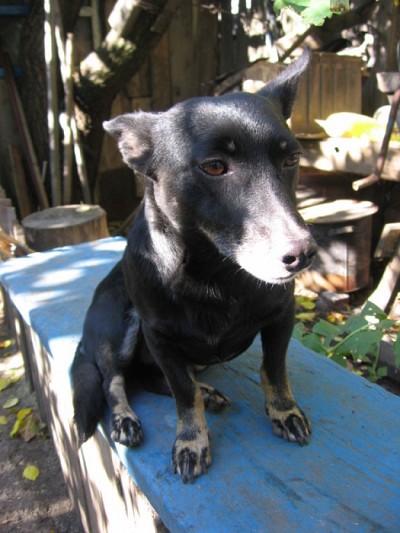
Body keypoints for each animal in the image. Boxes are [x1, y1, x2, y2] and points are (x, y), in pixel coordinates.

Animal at [71, 48, 317, 483]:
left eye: (291, 159)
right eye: (215, 166)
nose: (304, 254)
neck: (215, 274)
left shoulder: (281, 316)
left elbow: (274, 370)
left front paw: (284, 411)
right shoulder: (160, 338)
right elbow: (183, 397)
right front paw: (191, 441)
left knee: (151, 379)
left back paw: (207, 391)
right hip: (118, 325)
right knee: (114, 381)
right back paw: (125, 419)